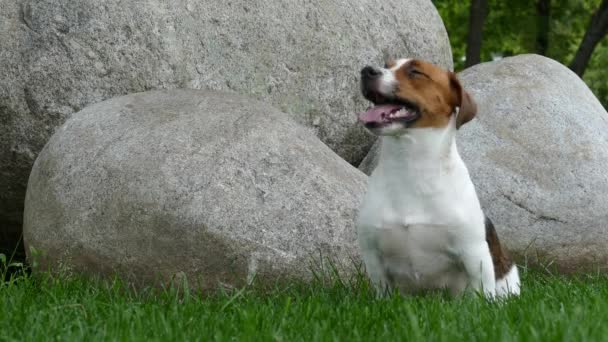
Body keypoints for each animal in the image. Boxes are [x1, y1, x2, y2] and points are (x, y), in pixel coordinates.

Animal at [358, 57, 520, 298]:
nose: (366, 71)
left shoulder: (474, 252)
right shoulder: (372, 254)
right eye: (387, 65)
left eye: (416, 72)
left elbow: (481, 294)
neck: (411, 165)